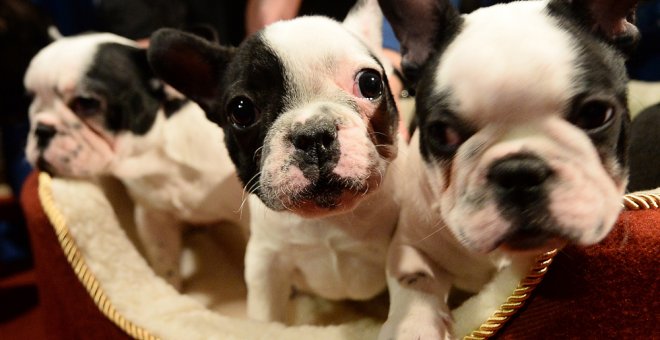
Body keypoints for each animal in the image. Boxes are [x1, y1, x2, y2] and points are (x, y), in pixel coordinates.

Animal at [24, 32, 248, 290]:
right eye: (31, 102)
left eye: (87, 103)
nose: (41, 129)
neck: (160, 159)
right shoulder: (153, 218)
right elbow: (165, 263)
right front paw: (171, 288)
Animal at [146, 0, 400, 324]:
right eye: (241, 110)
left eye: (370, 82)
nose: (313, 135)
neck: (328, 221)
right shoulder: (266, 264)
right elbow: (267, 318)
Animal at [376, 0, 636, 338]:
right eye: (441, 133)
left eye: (596, 114)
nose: (519, 172)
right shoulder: (409, 243)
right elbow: (416, 279)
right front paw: (412, 327)